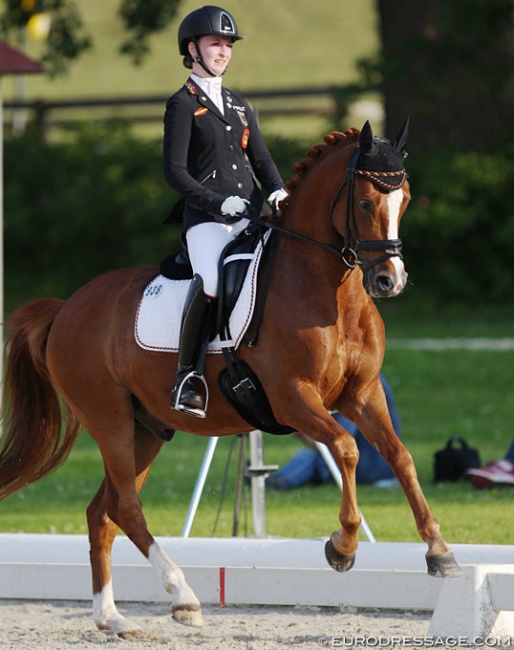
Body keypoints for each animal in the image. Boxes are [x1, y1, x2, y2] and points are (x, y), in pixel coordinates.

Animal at [0, 120, 460, 632]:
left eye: (406, 199)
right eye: (363, 202)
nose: (389, 281)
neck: (328, 290)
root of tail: (65, 309)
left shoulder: (363, 394)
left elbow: (400, 456)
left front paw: (439, 551)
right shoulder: (292, 398)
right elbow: (346, 447)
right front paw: (342, 546)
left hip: (146, 428)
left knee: (103, 511)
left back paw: (112, 617)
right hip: (109, 418)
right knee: (125, 506)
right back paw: (183, 596)